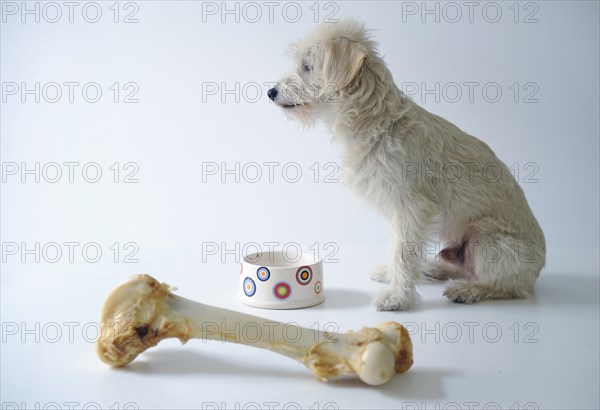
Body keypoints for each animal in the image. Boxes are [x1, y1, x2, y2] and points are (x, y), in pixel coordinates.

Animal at [270, 20, 548, 310]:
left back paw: (469, 289)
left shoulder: (412, 209)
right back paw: (433, 269)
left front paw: (398, 298)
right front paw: (394, 277)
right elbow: (397, 249)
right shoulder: (397, 211)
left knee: (508, 287)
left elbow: (402, 253)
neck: (380, 125)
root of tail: (538, 269)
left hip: (486, 241)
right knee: (462, 268)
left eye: (307, 67)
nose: (270, 92)